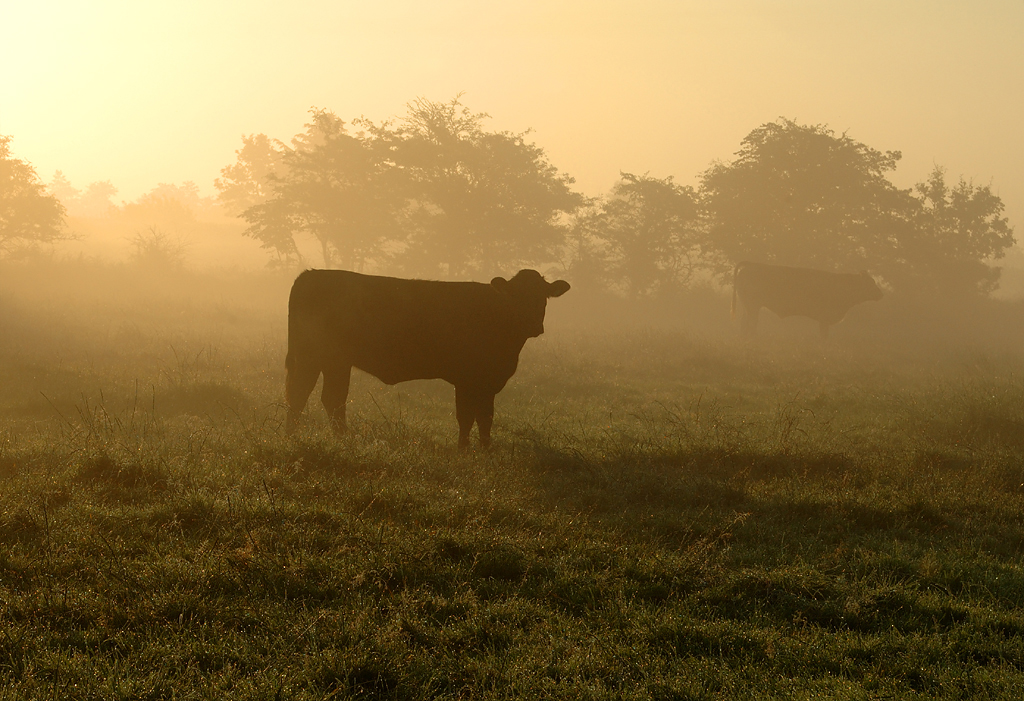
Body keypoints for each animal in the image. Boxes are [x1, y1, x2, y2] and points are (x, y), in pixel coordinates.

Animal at [284, 268, 573, 448]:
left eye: (543, 296)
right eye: (516, 296)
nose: (533, 325)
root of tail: (311, 274)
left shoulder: (488, 380)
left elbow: (485, 416)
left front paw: (485, 447)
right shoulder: (467, 378)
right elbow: (466, 415)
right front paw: (463, 448)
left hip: (331, 361)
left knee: (324, 398)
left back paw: (331, 438)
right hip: (317, 357)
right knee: (307, 396)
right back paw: (305, 438)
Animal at [733, 261, 884, 339]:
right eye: (870, 282)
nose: (880, 293)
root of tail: (751, 266)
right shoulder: (825, 317)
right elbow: (824, 334)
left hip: (748, 306)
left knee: (743, 322)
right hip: (753, 306)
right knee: (751, 323)